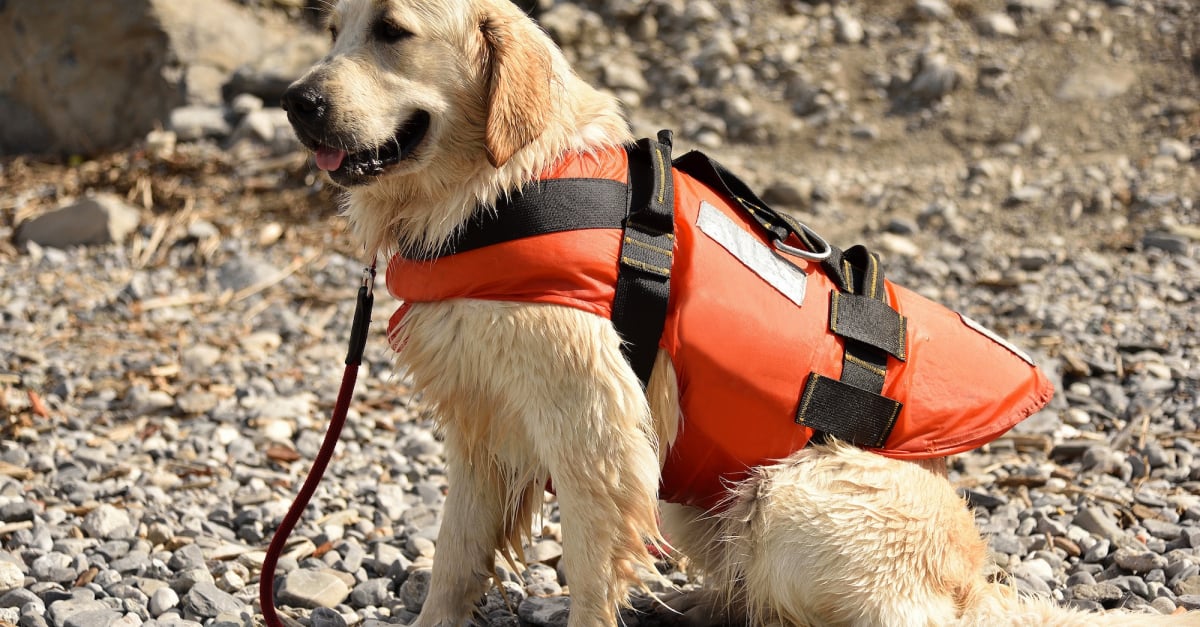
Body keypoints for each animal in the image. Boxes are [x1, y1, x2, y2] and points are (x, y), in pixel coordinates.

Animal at [283, 1, 1200, 624]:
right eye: (333, 29)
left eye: (393, 30)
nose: (295, 101)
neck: (499, 187)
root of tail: (971, 582)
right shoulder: (481, 421)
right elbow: (454, 555)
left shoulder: (594, 426)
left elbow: (589, 567)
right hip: (702, 500)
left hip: (788, 498)